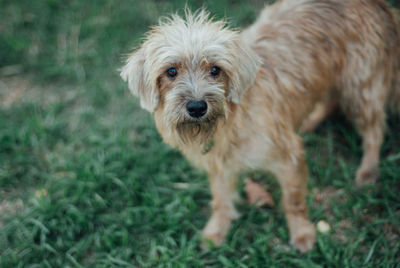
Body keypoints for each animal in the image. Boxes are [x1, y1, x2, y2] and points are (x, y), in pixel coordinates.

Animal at [121, 0, 400, 252]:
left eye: (215, 70)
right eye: (171, 71)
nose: (197, 106)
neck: (232, 121)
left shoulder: (289, 157)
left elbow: (293, 201)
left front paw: (302, 232)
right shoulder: (219, 166)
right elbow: (221, 200)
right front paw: (216, 230)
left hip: (361, 87)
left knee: (374, 130)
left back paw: (368, 170)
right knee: (330, 99)